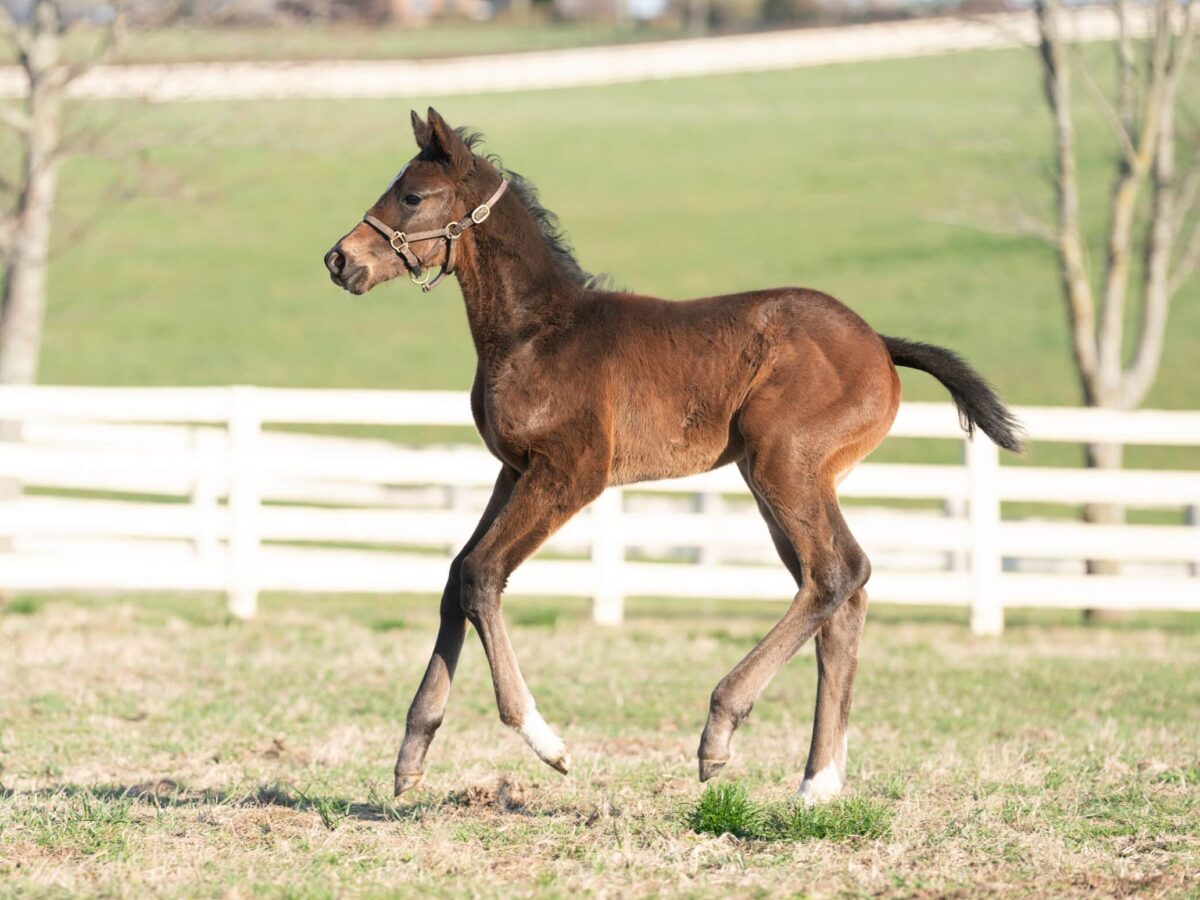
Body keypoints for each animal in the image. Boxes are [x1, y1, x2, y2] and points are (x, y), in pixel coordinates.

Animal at [326, 109, 1022, 806]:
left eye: (413, 197)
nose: (339, 259)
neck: (536, 332)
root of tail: (878, 342)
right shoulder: (514, 469)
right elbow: (455, 577)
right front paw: (411, 752)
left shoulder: (571, 472)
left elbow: (482, 574)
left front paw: (546, 742)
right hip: (781, 479)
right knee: (841, 594)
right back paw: (817, 784)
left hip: (783, 464)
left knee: (837, 572)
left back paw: (722, 730)